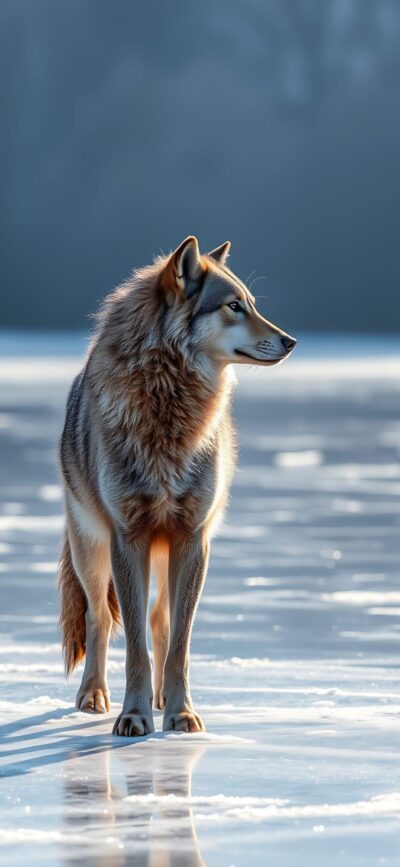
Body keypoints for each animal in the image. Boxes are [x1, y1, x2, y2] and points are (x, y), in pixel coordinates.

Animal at [59, 239, 296, 740]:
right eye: (233, 306)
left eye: (252, 303)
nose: (291, 341)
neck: (169, 407)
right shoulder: (128, 539)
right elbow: (132, 645)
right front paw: (133, 716)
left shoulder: (194, 538)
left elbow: (180, 646)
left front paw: (180, 713)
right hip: (91, 548)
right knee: (98, 617)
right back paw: (93, 697)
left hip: (165, 552)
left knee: (161, 621)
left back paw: (163, 698)